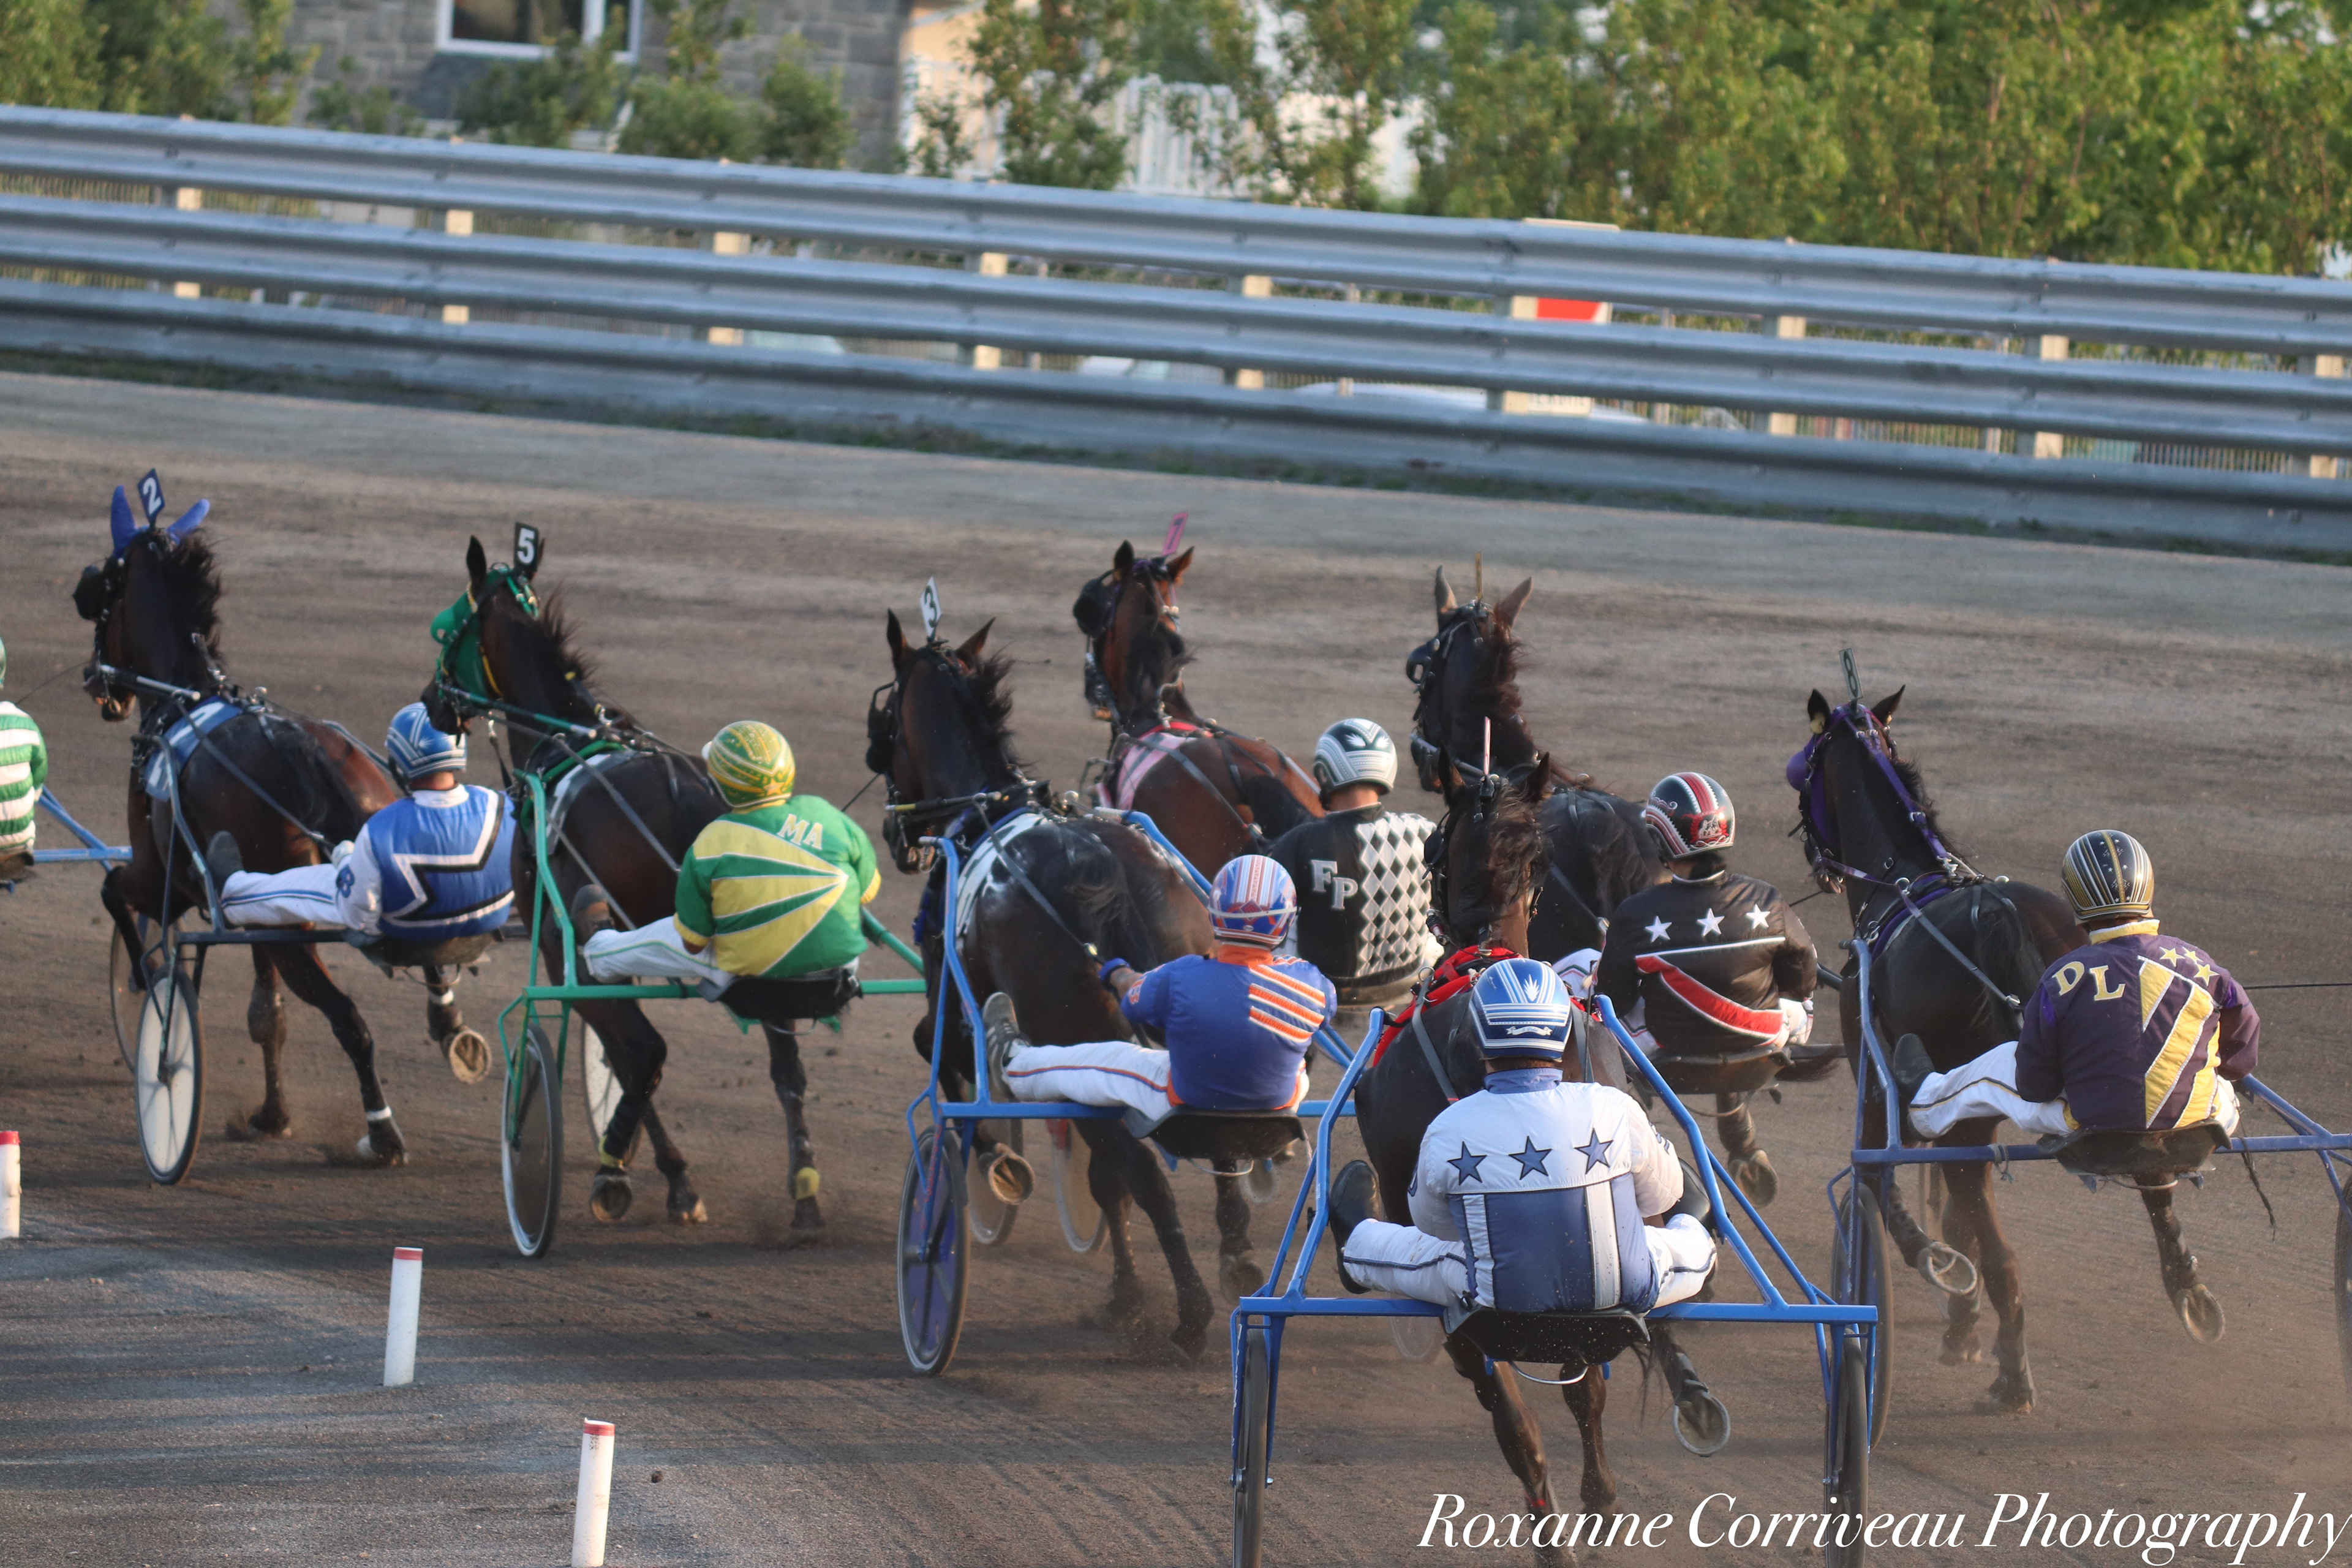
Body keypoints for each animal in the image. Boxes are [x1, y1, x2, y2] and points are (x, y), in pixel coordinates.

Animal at [72, 505, 438, 1164]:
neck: (184, 698)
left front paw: (145, 981)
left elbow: (114, 892)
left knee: (350, 1021)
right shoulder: (250, 916)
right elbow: (268, 1015)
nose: (96, 682)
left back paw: (382, 1131)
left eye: (102, 597)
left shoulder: (163, 876)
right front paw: (273, 1115)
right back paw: (450, 1027)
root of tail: (307, 754)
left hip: (291, 930)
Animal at [422, 534, 834, 1235]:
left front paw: (633, 1166)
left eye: (446, 632)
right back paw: (804, 1190)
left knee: (645, 1051)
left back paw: (630, 1172)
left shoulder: (563, 945)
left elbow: (622, 1056)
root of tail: (692, 798)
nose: (430, 700)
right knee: (787, 1065)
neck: (565, 742)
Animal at [872, 609, 1276, 1358]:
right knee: (1203, 1150)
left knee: (1141, 1172)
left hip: (1069, 1024)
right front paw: (1123, 1291)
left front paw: (993, 1157)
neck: (987, 816)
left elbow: (936, 1053)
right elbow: (1103, 1178)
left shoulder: (952, 996)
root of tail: (1105, 871)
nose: (895, 831)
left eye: (883, 725)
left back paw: (1191, 1311)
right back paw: (1235, 1256)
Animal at [1791, 685, 2088, 1413]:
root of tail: (1997, 916)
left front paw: (1937, 1272)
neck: (1903, 883)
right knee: (1995, 1240)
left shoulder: (1875, 1080)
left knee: (1983, 1233)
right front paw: (1961, 1315)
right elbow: (1954, 1215)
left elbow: (1881, 1183)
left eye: (1805, 769)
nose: (1819, 860)